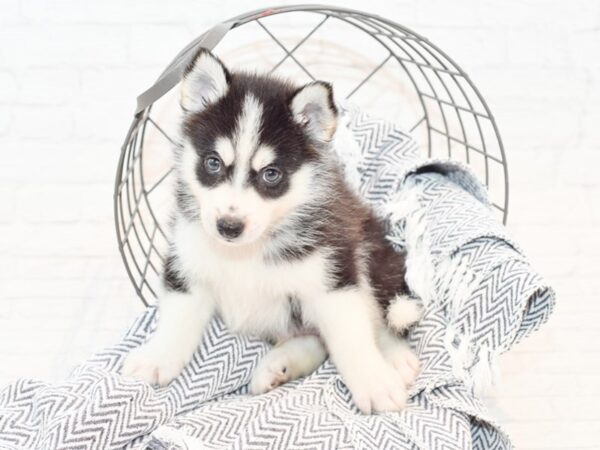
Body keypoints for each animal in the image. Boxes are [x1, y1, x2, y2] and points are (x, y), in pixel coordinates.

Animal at [122, 49, 422, 414]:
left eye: (271, 174)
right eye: (212, 163)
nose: (229, 227)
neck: (243, 253)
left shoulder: (331, 278)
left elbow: (352, 337)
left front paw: (374, 381)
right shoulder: (187, 266)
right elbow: (176, 321)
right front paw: (156, 358)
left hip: (368, 252)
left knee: (380, 314)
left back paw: (393, 356)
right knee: (314, 338)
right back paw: (278, 366)